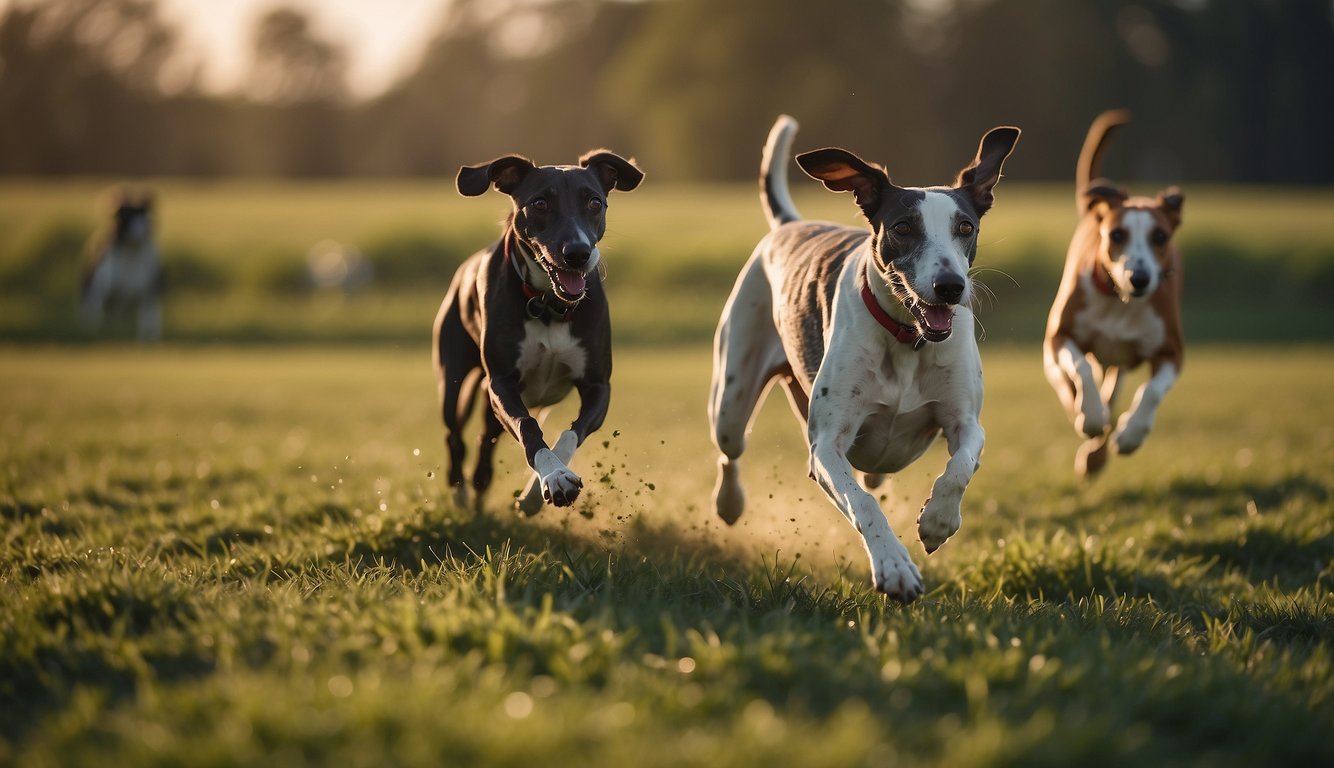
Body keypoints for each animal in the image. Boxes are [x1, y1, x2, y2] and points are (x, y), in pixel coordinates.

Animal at [715, 117, 1013, 602]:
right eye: (903, 227)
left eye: (965, 227)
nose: (950, 286)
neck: (908, 338)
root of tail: (790, 225)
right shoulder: (827, 446)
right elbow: (863, 503)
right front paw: (894, 566)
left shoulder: (966, 421)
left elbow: (960, 465)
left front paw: (938, 521)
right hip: (732, 395)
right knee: (731, 446)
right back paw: (729, 503)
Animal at [1045, 110, 1184, 477]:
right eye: (1117, 234)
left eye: (1160, 236)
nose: (1140, 277)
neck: (1119, 302)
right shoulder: (1059, 334)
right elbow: (1078, 365)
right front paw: (1090, 415)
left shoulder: (1171, 349)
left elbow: (1153, 390)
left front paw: (1131, 435)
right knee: (1069, 380)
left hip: (1121, 359)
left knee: (1115, 387)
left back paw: (1099, 451)